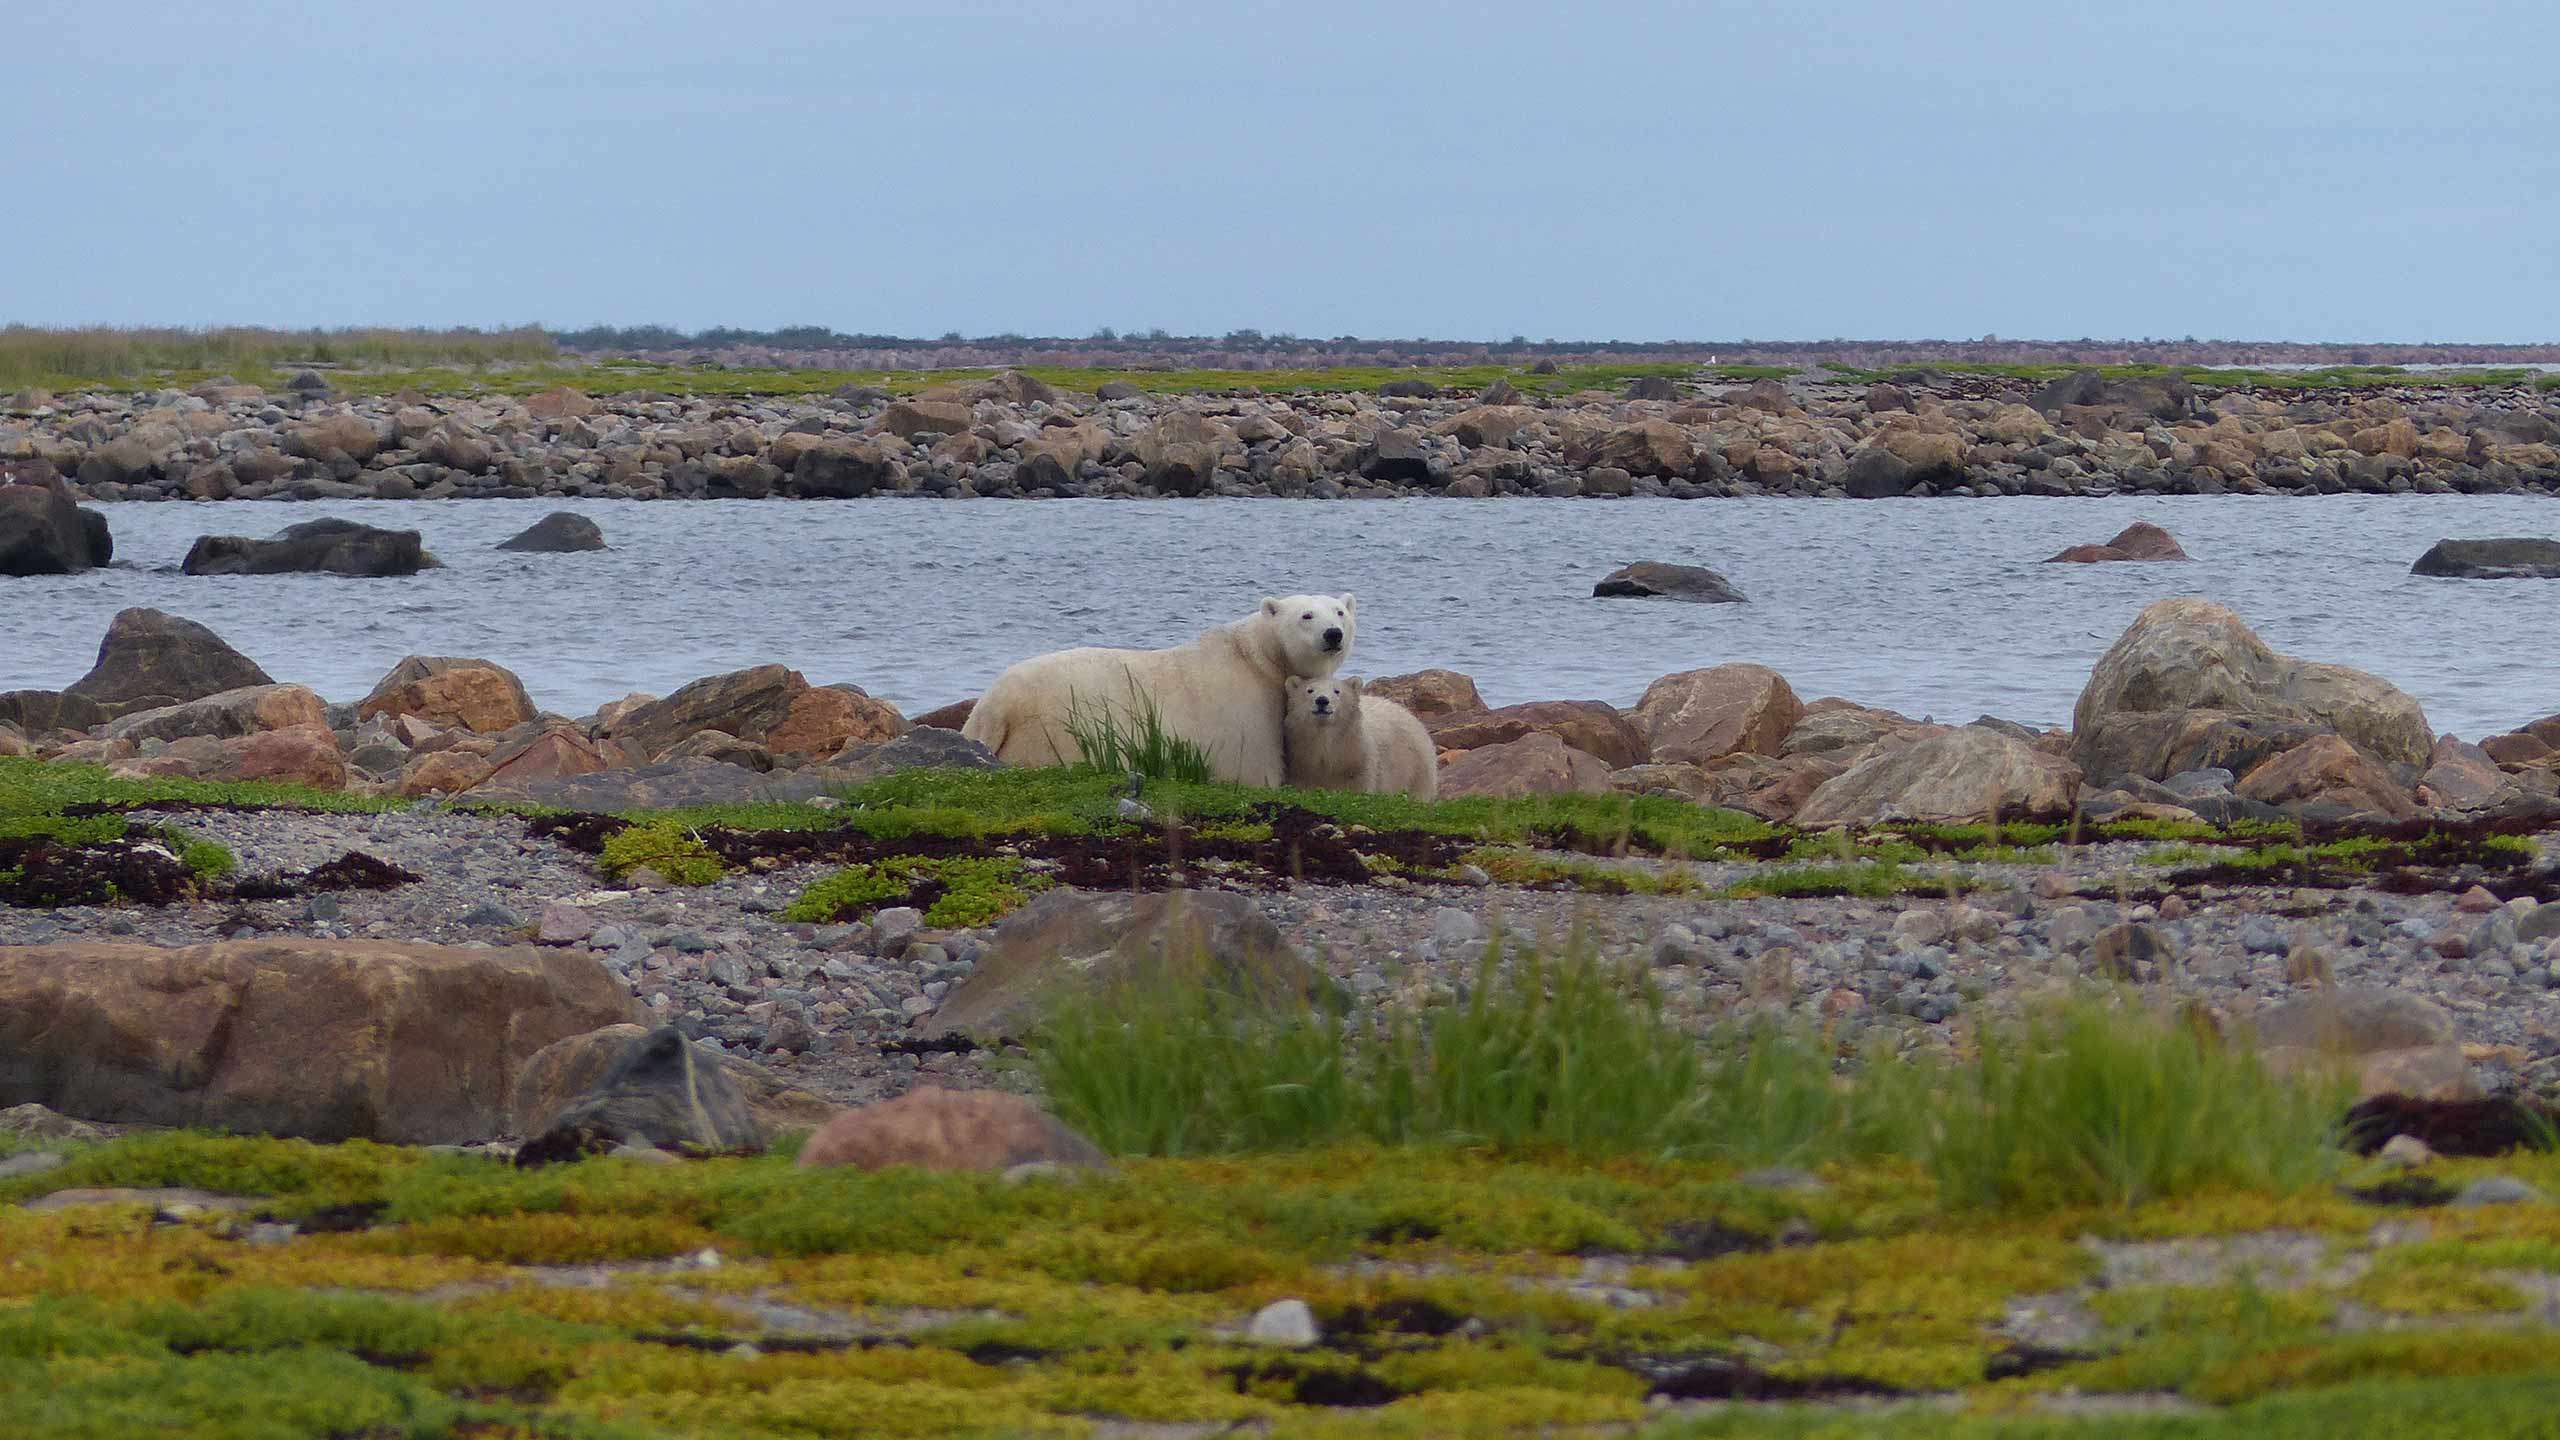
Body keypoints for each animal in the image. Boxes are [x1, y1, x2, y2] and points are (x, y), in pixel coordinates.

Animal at [962, 589, 1361, 778]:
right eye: (1306, 615)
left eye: (1340, 611)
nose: (1333, 633)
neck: (1256, 658)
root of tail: (995, 705)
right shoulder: (1245, 711)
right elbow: (1253, 768)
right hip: (1055, 733)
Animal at [1290, 671, 1433, 794]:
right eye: (1309, 690)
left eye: (1337, 691)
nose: (1322, 700)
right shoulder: (1302, 765)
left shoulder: (1357, 761)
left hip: (1416, 766)